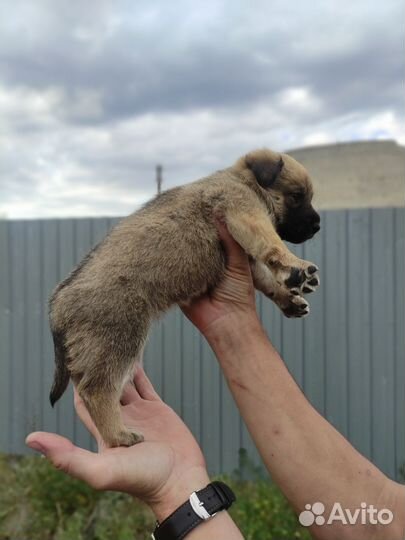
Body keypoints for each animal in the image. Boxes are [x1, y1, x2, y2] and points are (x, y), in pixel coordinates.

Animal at [49, 148, 320, 448]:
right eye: (296, 196)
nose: (318, 225)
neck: (244, 180)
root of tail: (58, 304)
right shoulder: (243, 211)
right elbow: (271, 243)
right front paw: (295, 267)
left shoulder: (246, 258)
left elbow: (266, 278)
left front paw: (289, 296)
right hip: (119, 336)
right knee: (97, 389)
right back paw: (117, 435)